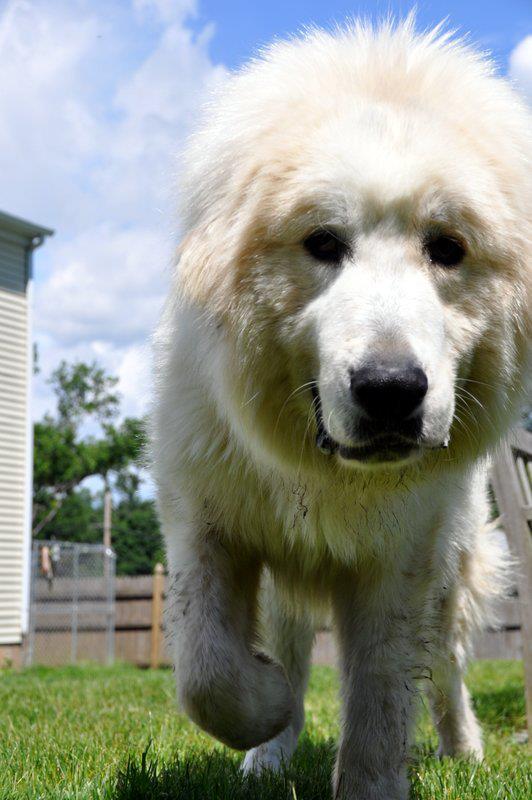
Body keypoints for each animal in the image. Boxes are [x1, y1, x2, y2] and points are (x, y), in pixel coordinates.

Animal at [152, 18, 528, 800]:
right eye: (323, 243)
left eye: (447, 249)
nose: (390, 388)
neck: (328, 474)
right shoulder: (204, 519)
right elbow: (208, 673)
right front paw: (263, 708)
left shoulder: (400, 558)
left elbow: (380, 697)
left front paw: (371, 783)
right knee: (290, 649)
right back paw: (270, 751)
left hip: (455, 568)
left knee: (446, 667)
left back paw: (464, 749)